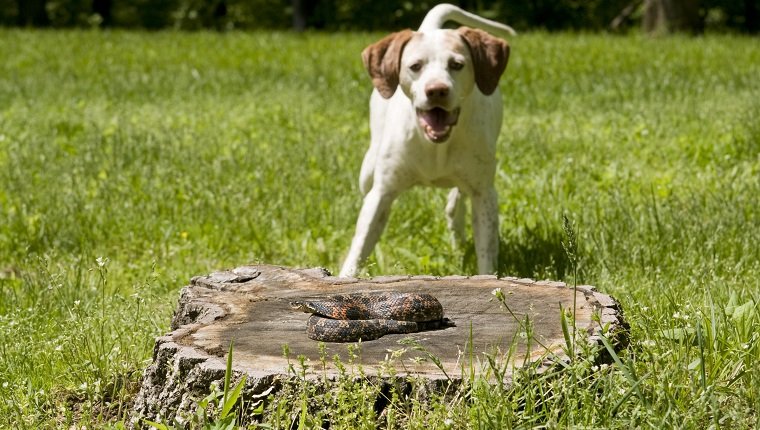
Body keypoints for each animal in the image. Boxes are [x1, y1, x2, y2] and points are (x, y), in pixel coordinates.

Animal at [340, 3, 512, 278]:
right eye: (415, 66)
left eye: (457, 64)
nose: (437, 90)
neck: (436, 145)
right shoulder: (381, 194)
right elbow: (359, 249)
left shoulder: (484, 194)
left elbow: (486, 253)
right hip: (367, 170)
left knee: (456, 202)